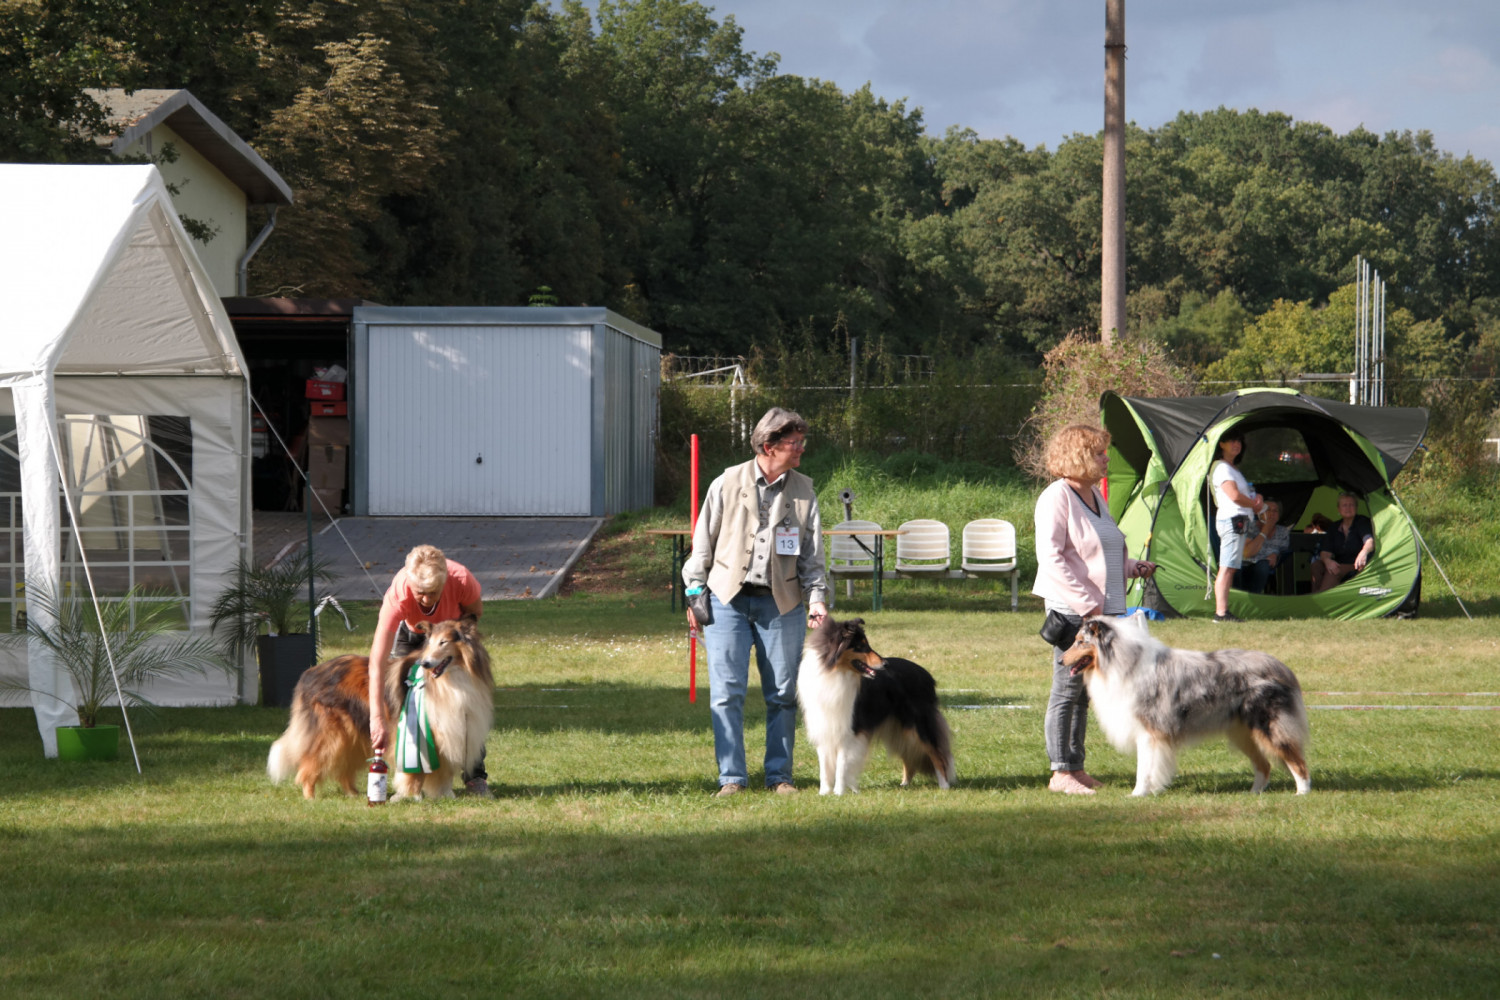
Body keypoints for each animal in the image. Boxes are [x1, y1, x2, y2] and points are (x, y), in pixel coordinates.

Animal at [267, 618, 494, 800]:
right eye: (429, 643)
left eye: (443, 642)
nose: (426, 663)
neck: (450, 679)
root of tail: (309, 673)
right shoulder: (422, 735)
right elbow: (416, 772)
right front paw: (412, 796)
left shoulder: (451, 731)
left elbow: (444, 772)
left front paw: (445, 795)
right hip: (332, 736)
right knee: (309, 765)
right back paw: (310, 797)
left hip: (353, 737)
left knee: (343, 769)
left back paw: (353, 794)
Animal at [797, 616, 956, 795]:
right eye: (861, 647)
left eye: (867, 644)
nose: (885, 664)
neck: (834, 672)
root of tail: (926, 674)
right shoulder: (824, 726)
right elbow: (824, 766)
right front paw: (824, 793)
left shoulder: (849, 729)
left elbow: (841, 764)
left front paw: (838, 792)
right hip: (900, 729)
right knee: (909, 755)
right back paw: (904, 784)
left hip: (919, 724)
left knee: (937, 754)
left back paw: (944, 786)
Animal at [1061, 615, 1310, 795]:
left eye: (1080, 642)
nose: (1060, 660)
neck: (1122, 662)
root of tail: (1281, 667)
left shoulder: (1148, 732)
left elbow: (1144, 768)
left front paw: (1137, 794)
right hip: (1242, 732)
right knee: (1264, 766)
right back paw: (1253, 794)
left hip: (1268, 725)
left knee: (1296, 761)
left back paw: (1302, 793)